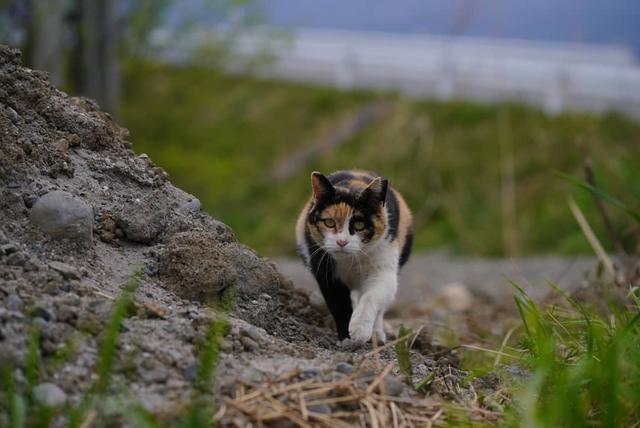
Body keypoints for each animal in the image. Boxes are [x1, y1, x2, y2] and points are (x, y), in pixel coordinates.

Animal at [296, 169, 416, 342]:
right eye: (329, 222)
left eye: (359, 225)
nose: (342, 241)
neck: (350, 261)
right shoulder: (326, 272)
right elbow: (339, 306)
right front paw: (346, 337)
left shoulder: (384, 271)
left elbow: (371, 296)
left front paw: (360, 329)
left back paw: (377, 334)